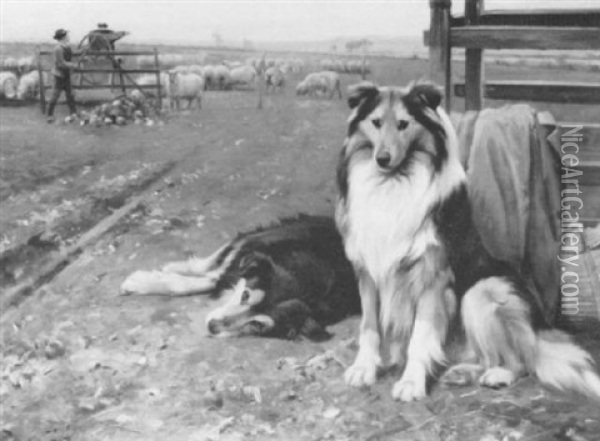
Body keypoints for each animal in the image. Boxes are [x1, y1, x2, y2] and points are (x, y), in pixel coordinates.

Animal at [119, 215, 358, 338]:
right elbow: (211, 275)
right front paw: (143, 282)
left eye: (256, 325)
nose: (212, 326)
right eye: (245, 296)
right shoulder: (255, 247)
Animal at [336, 81, 600, 400]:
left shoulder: (433, 277)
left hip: (482, 291)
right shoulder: (368, 272)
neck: (394, 182)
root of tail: (537, 328)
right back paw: (462, 372)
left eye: (403, 124)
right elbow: (369, 327)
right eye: (375, 123)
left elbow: (420, 337)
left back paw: (498, 374)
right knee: (485, 357)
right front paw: (364, 369)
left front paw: (411, 382)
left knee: (521, 361)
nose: (382, 159)